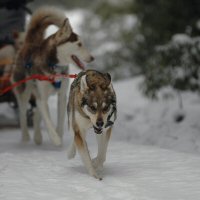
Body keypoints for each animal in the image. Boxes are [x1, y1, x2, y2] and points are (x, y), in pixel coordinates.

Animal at [12, 6, 94, 145]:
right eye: (79, 44)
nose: (92, 57)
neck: (54, 67)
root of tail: (29, 43)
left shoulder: (62, 96)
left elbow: (59, 120)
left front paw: (59, 134)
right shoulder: (43, 98)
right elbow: (48, 119)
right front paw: (55, 138)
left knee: (36, 114)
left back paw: (38, 137)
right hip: (24, 93)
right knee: (23, 114)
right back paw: (25, 137)